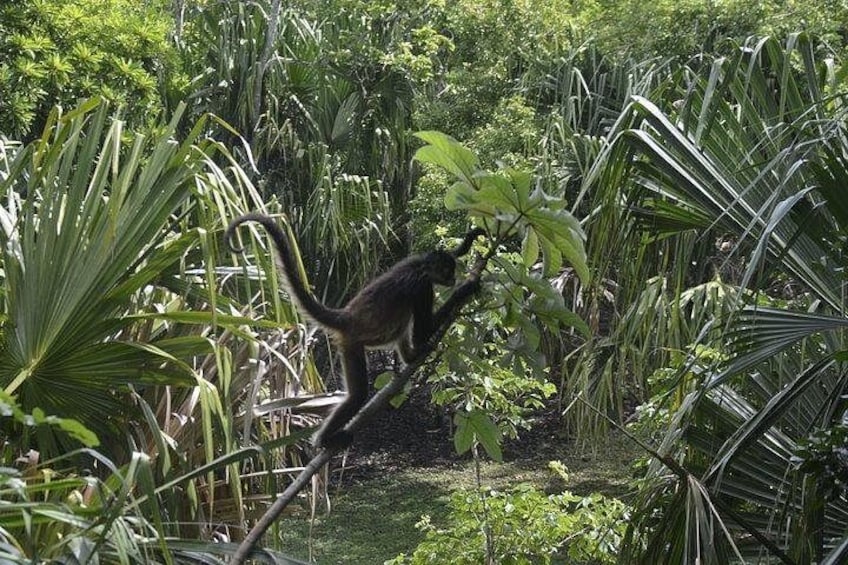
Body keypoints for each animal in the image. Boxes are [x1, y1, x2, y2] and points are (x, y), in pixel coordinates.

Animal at [225, 212, 485, 450]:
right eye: (447, 271)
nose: (453, 279)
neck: (420, 267)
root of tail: (347, 317)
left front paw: (468, 242)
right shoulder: (421, 286)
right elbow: (422, 331)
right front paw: (466, 288)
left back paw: (410, 357)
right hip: (351, 344)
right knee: (358, 395)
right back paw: (323, 440)